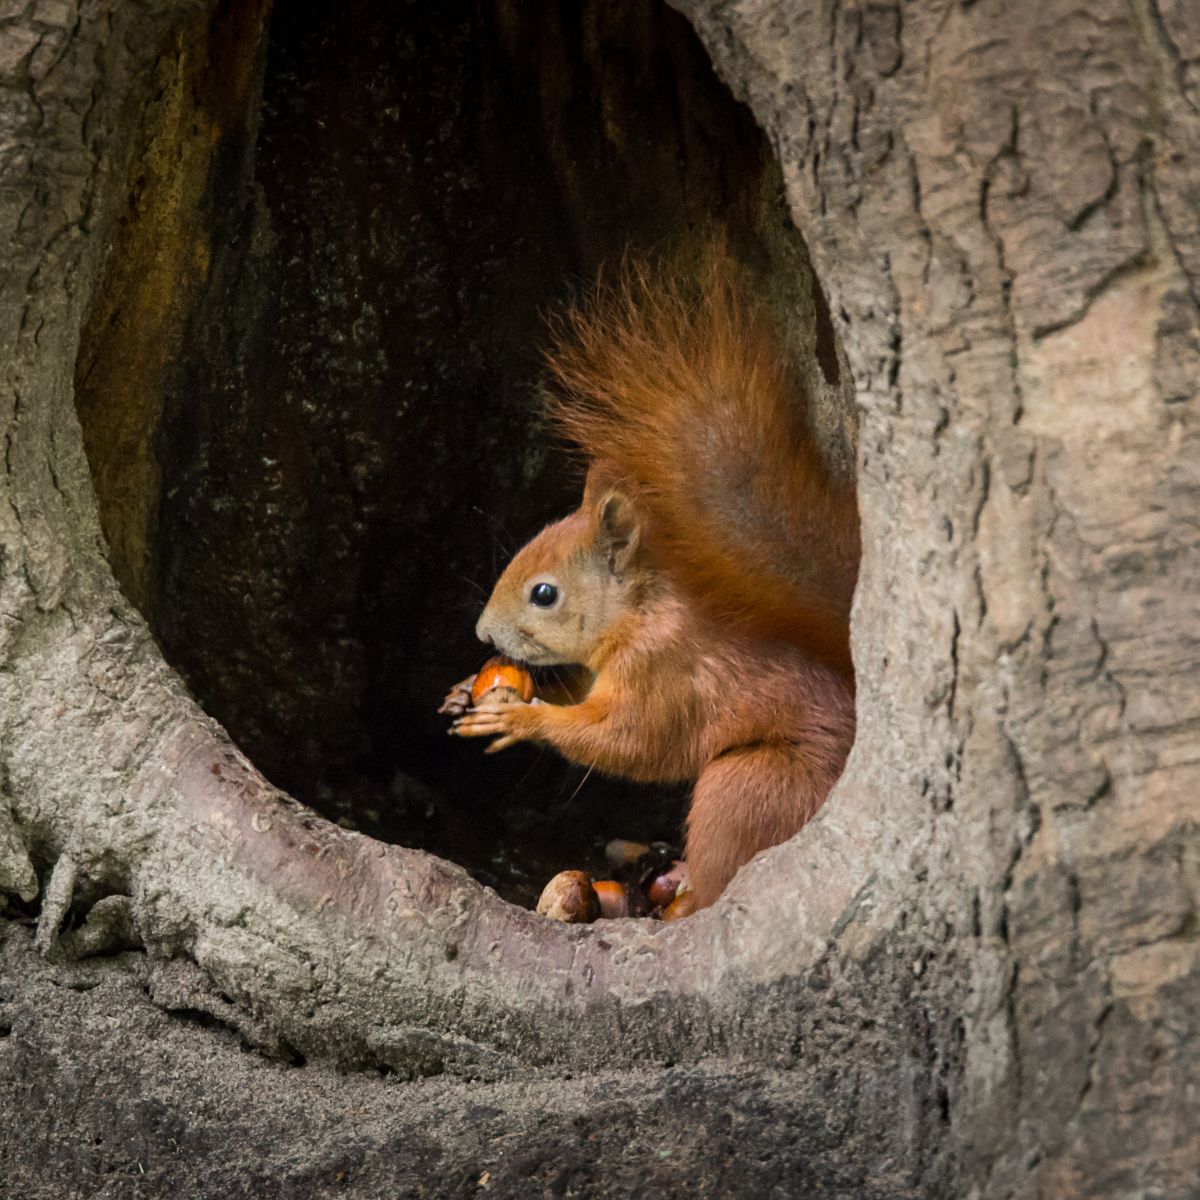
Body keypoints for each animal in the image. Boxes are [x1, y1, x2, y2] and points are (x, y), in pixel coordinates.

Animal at [448, 255, 854, 907]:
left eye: (544, 594)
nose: (484, 635)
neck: (638, 613)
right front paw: (466, 688)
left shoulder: (664, 671)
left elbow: (626, 741)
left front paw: (519, 719)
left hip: (747, 787)